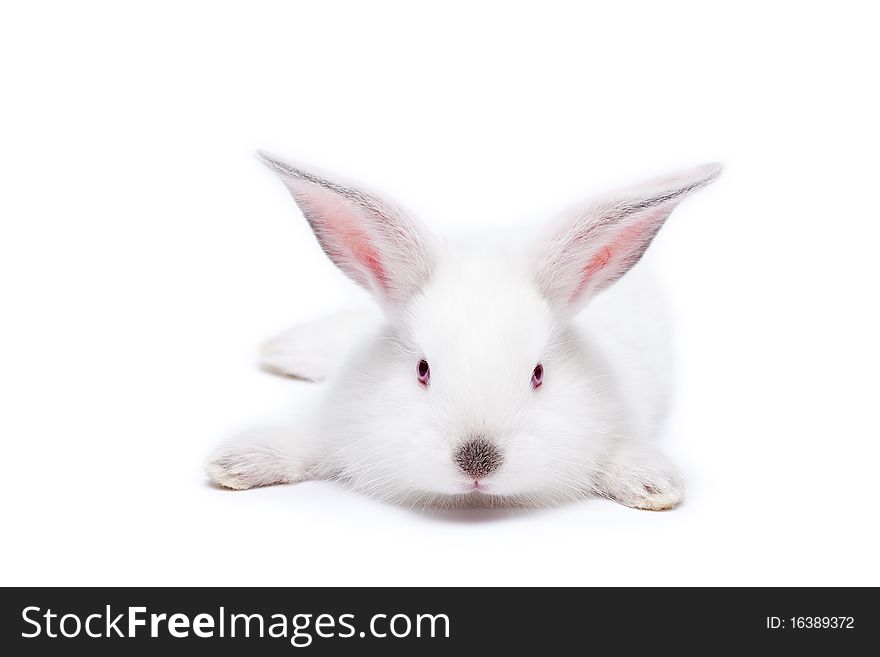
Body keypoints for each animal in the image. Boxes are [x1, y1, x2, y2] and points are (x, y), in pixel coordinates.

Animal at [206, 151, 720, 510]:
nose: (477, 462)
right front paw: (235, 464)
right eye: (422, 370)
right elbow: (300, 444)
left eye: (538, 374)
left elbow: (624, 457)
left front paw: (654, 485)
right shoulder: (332, 424)